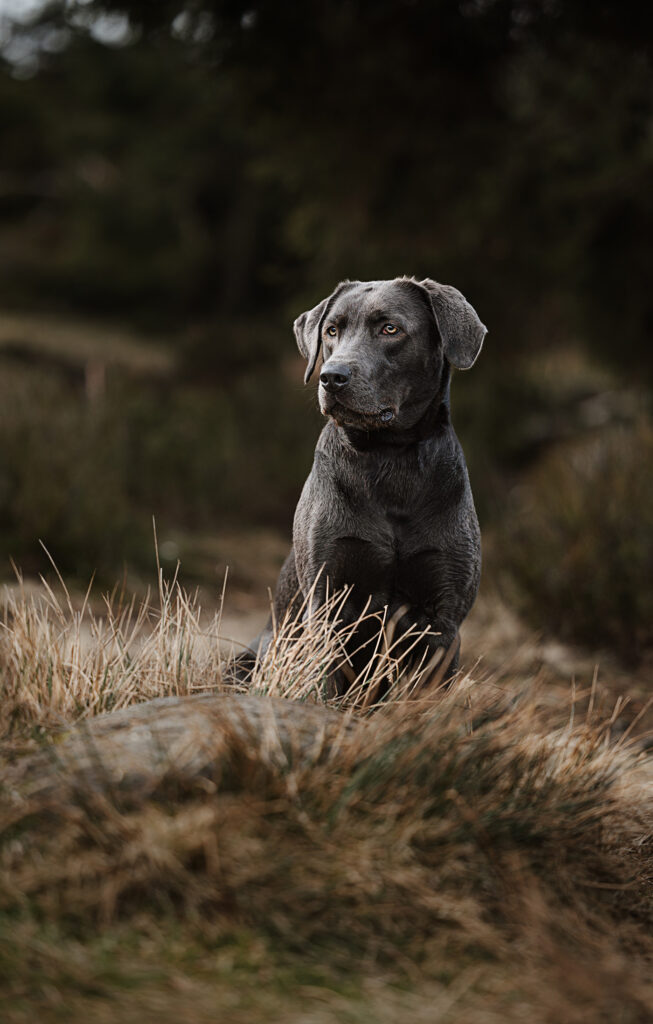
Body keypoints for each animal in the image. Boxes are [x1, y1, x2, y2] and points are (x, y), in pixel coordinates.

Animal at [246, 276, 487, 696]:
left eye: (390, 328)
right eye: (331, 331)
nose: (331, 376)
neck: (389, 458)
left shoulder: (442, 616)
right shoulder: (328, 600)